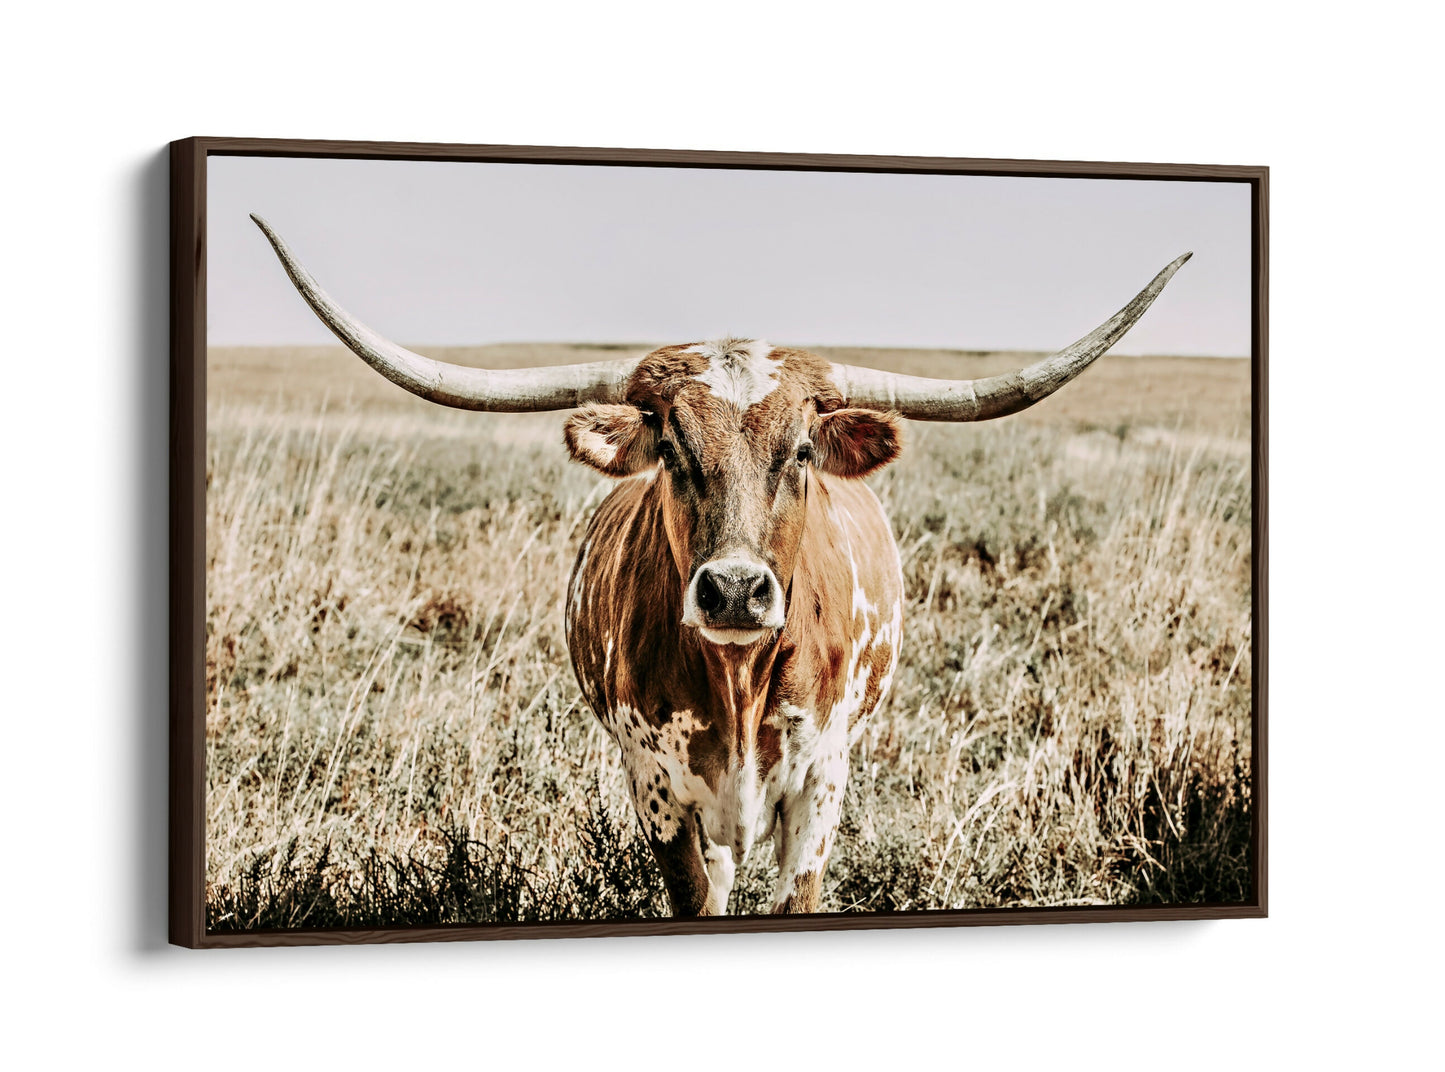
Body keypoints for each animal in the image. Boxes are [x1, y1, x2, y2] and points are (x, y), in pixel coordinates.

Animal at [252, 214, 1189, 916]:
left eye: (802, 449)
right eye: (670, 447)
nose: (735, 590)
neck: (737, 682)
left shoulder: (821, 783)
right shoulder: (656, 789)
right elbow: (696, 898)